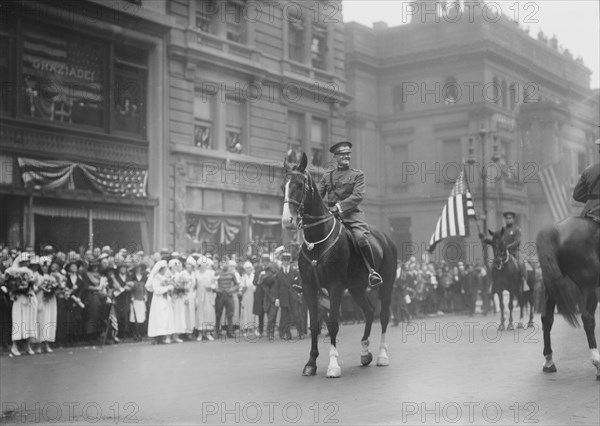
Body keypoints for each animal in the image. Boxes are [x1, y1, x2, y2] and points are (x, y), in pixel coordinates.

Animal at [282, 152, 398, 376]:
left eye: (300, 184)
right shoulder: (309, 287)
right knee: (369, 311)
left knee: (383, 316)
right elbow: (315, 324)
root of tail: (386, 238)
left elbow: (333, 324)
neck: (317, 241)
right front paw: (311, 363)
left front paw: (333, 365)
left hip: (386, 285)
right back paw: (365, 353)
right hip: (356, 288)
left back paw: (382, 355)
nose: (287, 221)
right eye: (284, 184)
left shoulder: (335, 287)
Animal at [536, 218, 600, 378]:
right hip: (588, 286)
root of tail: (555, 231)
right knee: (587, 318)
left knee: (546, 318)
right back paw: (597, 362)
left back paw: (549, 362)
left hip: (551, 286)